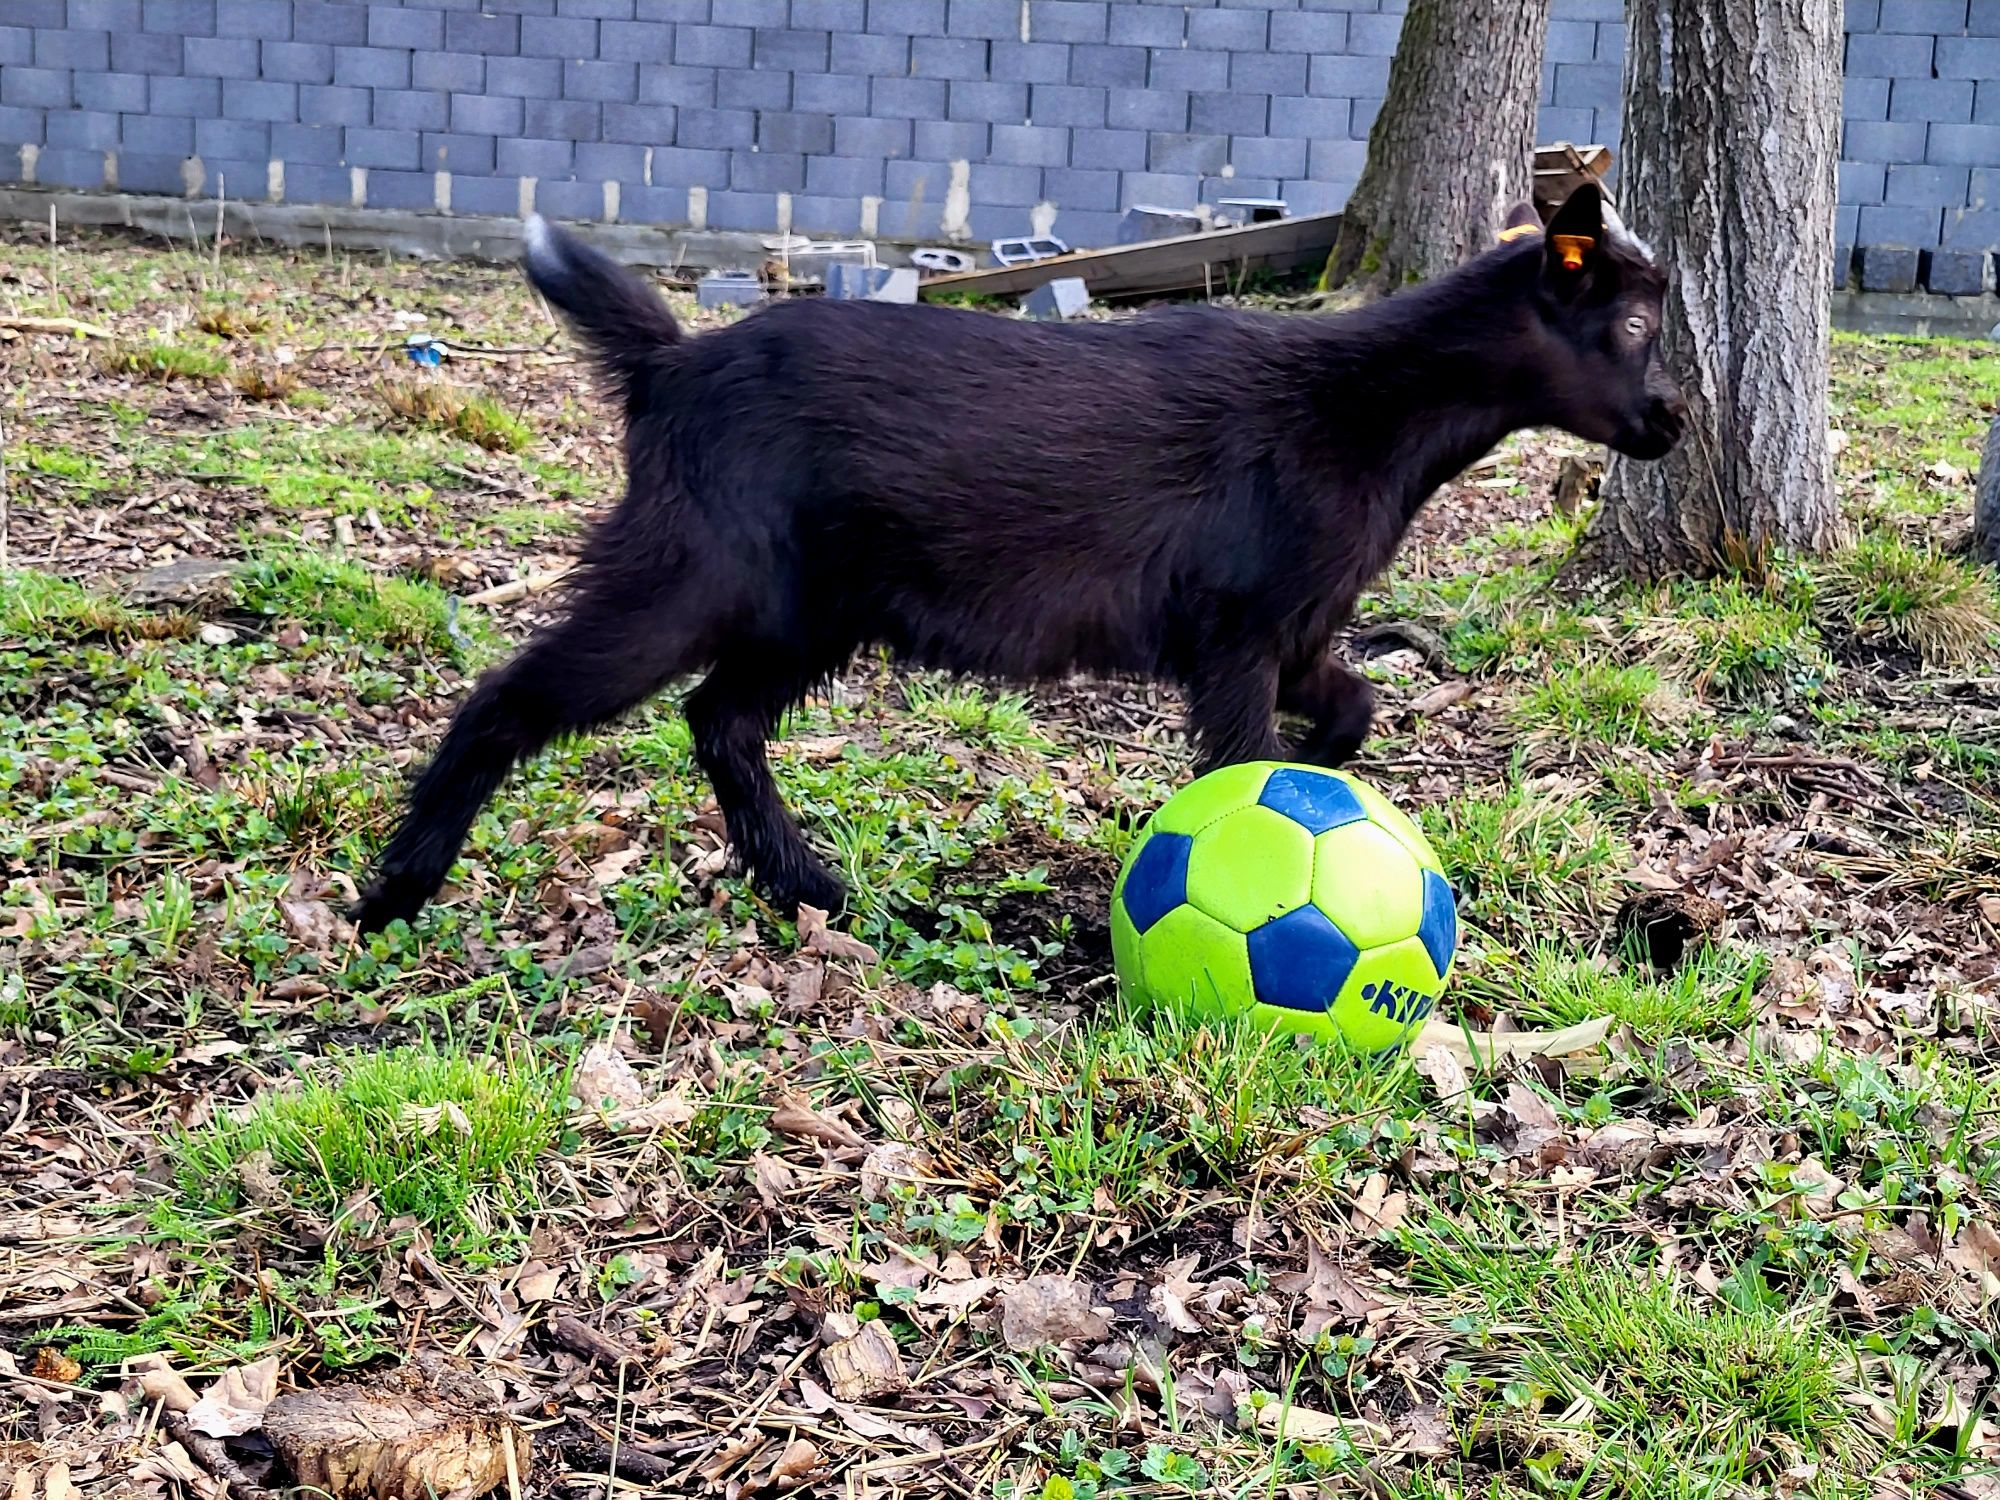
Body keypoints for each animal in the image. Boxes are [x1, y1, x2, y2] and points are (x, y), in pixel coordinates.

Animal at [352, 182, 1680, 936]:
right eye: (1629, 325)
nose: (1672, 423)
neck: (1363, 401)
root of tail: (672, 362)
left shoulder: (1292, 630)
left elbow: (1349, 707)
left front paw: (1324, 768)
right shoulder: (1237, 643)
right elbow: (1238, 772)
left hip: (806, 610)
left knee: (720, 722)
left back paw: (807, 889)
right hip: (690, 583)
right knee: (507, 700)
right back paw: (397, 890)